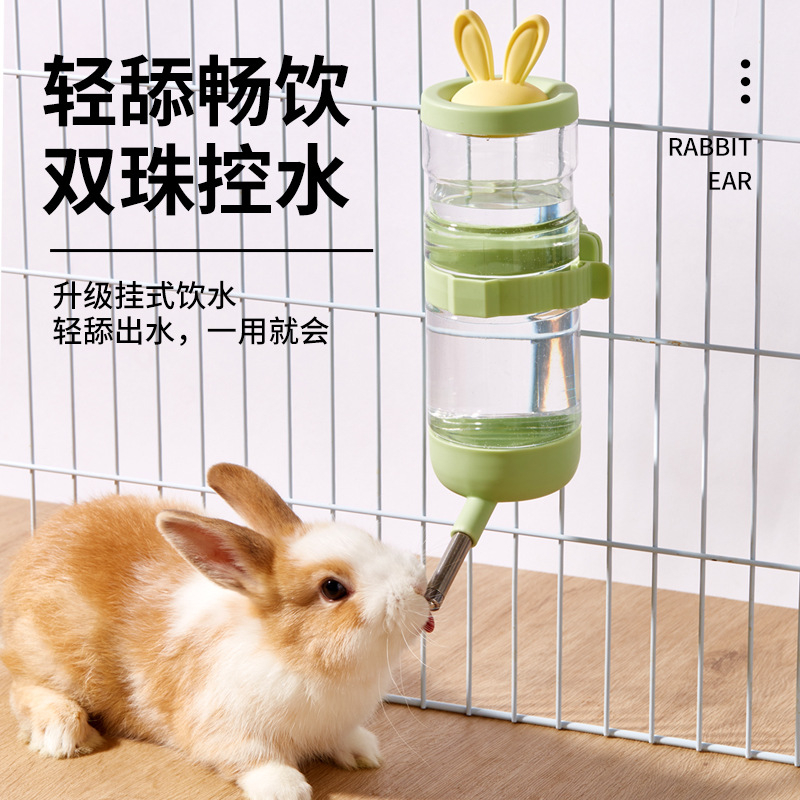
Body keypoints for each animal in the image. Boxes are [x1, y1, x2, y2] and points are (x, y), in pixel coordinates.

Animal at [1, 463, 435, 800]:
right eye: (333, 588)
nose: (418, 586)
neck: (297, 655)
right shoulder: (223, 728)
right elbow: (252, 759)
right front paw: (287, 788)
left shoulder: (334, 723)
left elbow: (343, 738)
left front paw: (364, 754)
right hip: (53, 659)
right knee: (22, 688)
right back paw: (63, 734)